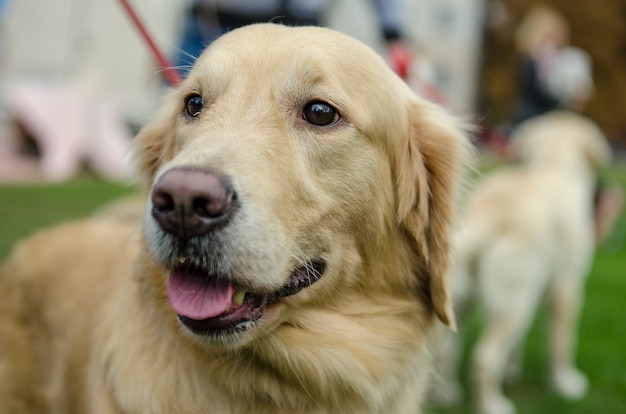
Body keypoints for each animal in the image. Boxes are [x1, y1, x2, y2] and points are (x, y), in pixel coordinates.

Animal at [434, 110, 608, 414]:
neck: (553, 165)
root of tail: (479, 220)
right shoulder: (567, 288)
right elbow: (561, 343)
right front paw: (566, 384)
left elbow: (518, 344)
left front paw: (512, 370)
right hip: (515, 302)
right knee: (485, 357)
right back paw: (493, 405)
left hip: (466, 302)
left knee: (448, 350)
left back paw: (447, 395)